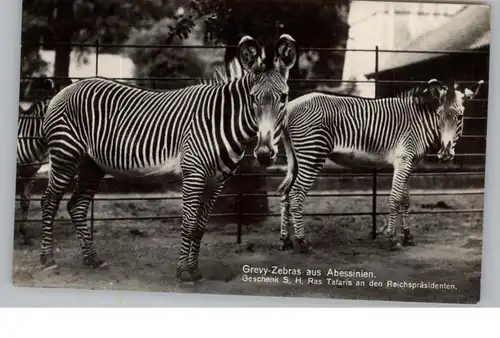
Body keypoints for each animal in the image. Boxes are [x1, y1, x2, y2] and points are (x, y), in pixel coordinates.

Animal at [40, 33, 296, 282]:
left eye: (284, 97)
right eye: (253, 98)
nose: (264, 154)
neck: (220, 121)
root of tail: (66, 89)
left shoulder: (216, 182)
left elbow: (200, 227)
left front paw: (194, 271)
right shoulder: (194, 174)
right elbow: (189, 224)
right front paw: (183, 272)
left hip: (91, 164)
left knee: (77, 205)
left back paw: (92, 259)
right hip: (65, 155)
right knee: (49, 201)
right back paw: (47, 260)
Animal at [276, 79, 482, 252]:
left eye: (460, 117)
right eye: (439, 116)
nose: (445, 154)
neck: (419, 122)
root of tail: (289, 107)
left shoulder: (409, 162)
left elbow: (405, 200)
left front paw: (408, 236)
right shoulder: (403, 159)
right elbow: (395, 199)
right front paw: (393, 239)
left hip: (296, 158)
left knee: (285, 193)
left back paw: (286, 240)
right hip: (313, 153)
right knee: (295, 194)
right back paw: (303, 242)